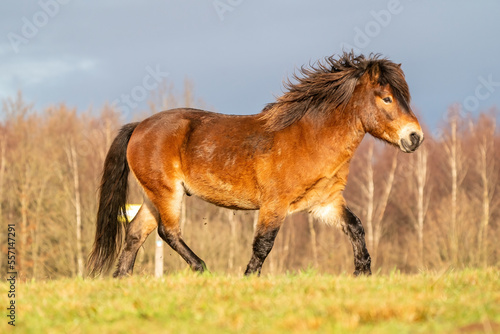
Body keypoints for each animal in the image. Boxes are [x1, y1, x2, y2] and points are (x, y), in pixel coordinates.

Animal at [88, 52, 424, 276]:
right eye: (386, 98)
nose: (415, 137)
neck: (309, 137)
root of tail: (139, 126)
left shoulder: (324, 202)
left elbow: (356, 227)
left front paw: (362, 272)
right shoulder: (274, 205)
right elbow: (263, 245)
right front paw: (248, 278)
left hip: (153, 196)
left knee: (135, 234)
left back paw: (122, 280)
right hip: (167, 194)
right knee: (167, 232)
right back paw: (202, 267)